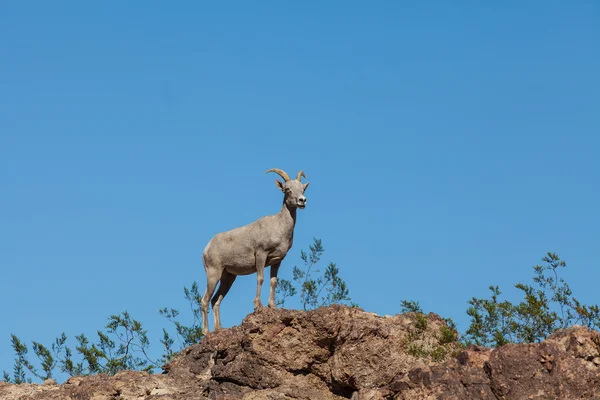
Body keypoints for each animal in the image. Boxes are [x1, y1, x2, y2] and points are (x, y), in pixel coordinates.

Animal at [200, 168, 310, 332]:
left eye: (303, 189)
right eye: (288, 189)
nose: (302, 201)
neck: (279, 227)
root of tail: (206, 248)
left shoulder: (277, 261)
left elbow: (273, 281)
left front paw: (272, 306)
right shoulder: (261, 254)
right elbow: (260, 278)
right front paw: (258, 305)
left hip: (228, 277)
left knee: (215, 300)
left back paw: (219, 329)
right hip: (214, 273)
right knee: (205, 300)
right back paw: (206, 332)